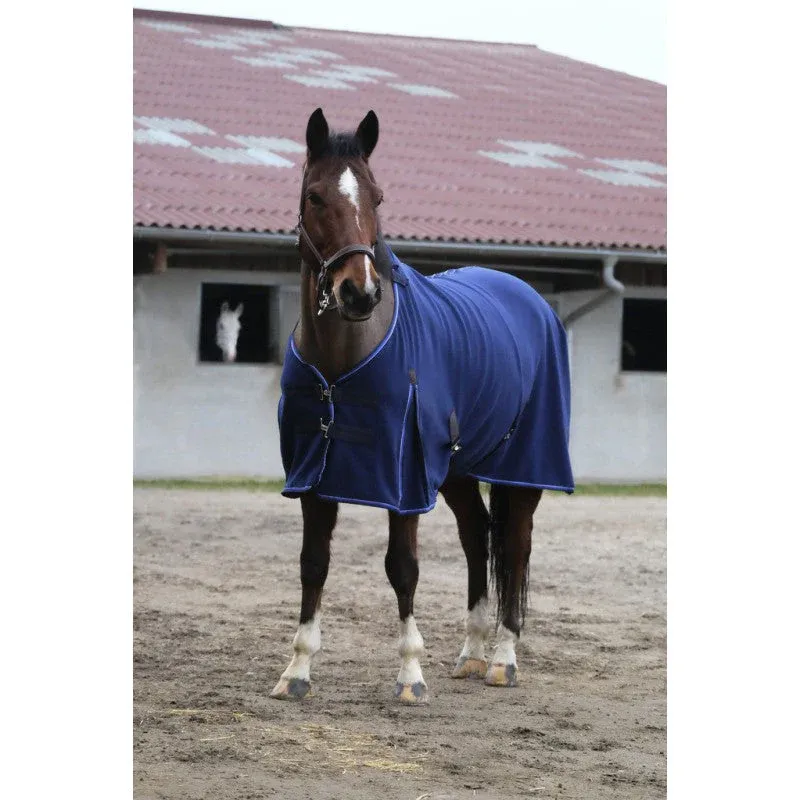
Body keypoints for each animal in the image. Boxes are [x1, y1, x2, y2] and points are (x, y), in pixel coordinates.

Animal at [270, 108, 574, 705]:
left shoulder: (403, 478)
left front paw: (411, 674)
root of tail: (533, 302)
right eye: (315, 196)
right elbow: (313, 565)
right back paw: (471, 653)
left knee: (516, 545)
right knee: (477, 536)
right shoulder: (314, 476)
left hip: (525, 466)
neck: (342, 361)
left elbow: (403, 567)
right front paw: (296, 671)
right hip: (457, 469)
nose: (358, 293)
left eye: (378, 196)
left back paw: (503, 659)